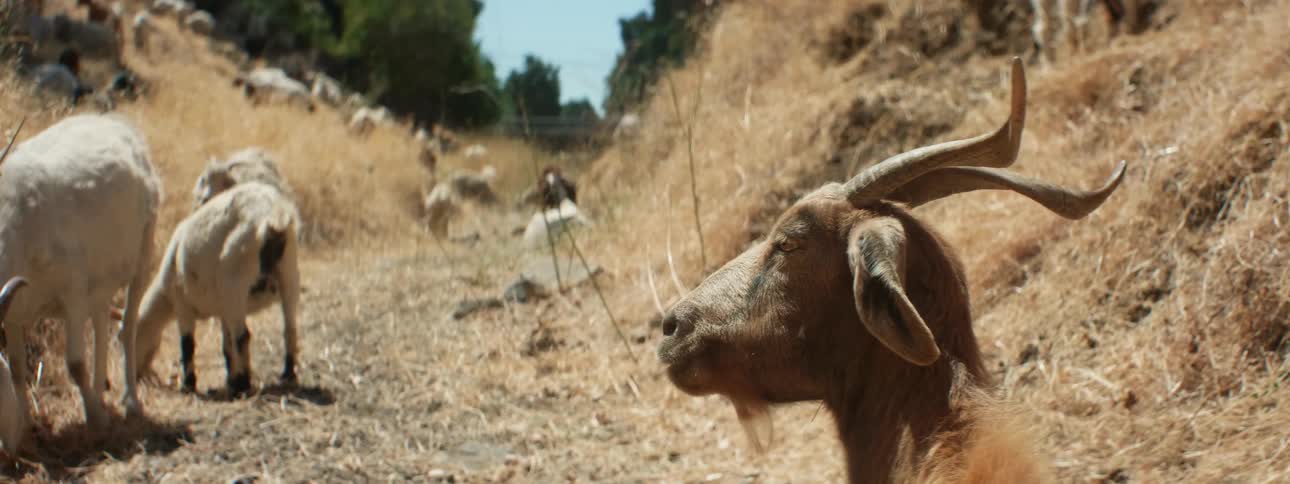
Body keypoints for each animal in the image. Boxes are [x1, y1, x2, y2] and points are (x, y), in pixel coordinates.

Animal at [0, 115, 162, 446]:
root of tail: (119, 126)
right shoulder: (14, 315)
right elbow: (19, 369)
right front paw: (25, 426)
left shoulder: (72, 294)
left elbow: (75, 363)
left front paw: (97, 420)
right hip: (99, 285)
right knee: (101, 323)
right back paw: (99, 393)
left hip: (142, 256)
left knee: (128, 326)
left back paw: (130, 403)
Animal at [133, 181, 301, 395]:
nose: (136, 376)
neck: (165, 298)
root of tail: (272, 214)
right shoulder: (223, 310)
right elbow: (226, 346)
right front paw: (230, 378)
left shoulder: (182, 304)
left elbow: (187, 344)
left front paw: (189, 384)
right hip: (289, 272)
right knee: (290, 328)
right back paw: (287, 375)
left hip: (235, 279)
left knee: (243, 336)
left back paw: (243, 384)